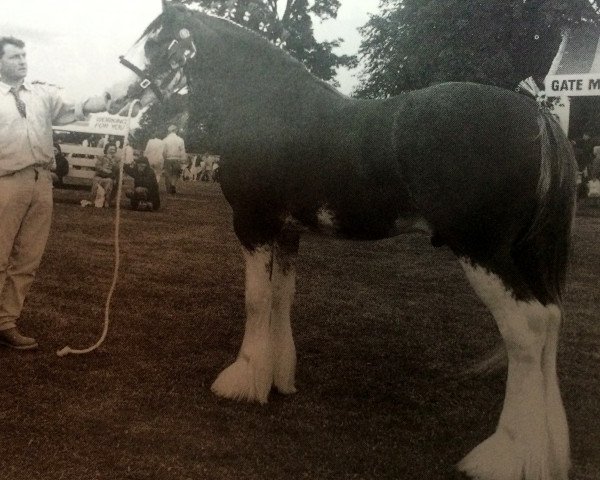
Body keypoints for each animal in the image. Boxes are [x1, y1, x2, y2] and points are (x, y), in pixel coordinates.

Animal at [104, 5, 576, 478]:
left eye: (155, 44)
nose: (110, 98)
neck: (267, 105)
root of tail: (533, 115)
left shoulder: (253, 224)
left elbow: (256, 300)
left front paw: (242, 379)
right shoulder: (287, 232)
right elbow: (281, 298)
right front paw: (277, 379)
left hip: (483, 251)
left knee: (526, 330)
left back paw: (506, 455)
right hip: (525, 254)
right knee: (552, 321)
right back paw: (550, 453)